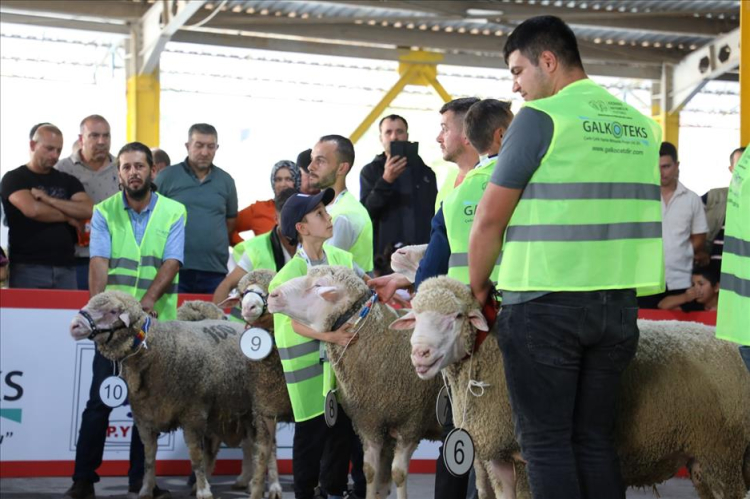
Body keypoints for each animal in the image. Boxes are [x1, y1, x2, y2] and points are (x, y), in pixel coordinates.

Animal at [268, 268, 446, 499]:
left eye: (319, 285)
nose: (272, 295)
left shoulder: (412, 424)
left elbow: (398, 474)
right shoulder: (369, 424)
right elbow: (371, 472)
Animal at [394, 278, 750, 499]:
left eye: (455, 316)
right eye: (416, 317)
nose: (420, 354)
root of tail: (731, 346)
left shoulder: (520, 459)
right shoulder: (492, 459)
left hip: (722, 454)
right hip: (706, 459)